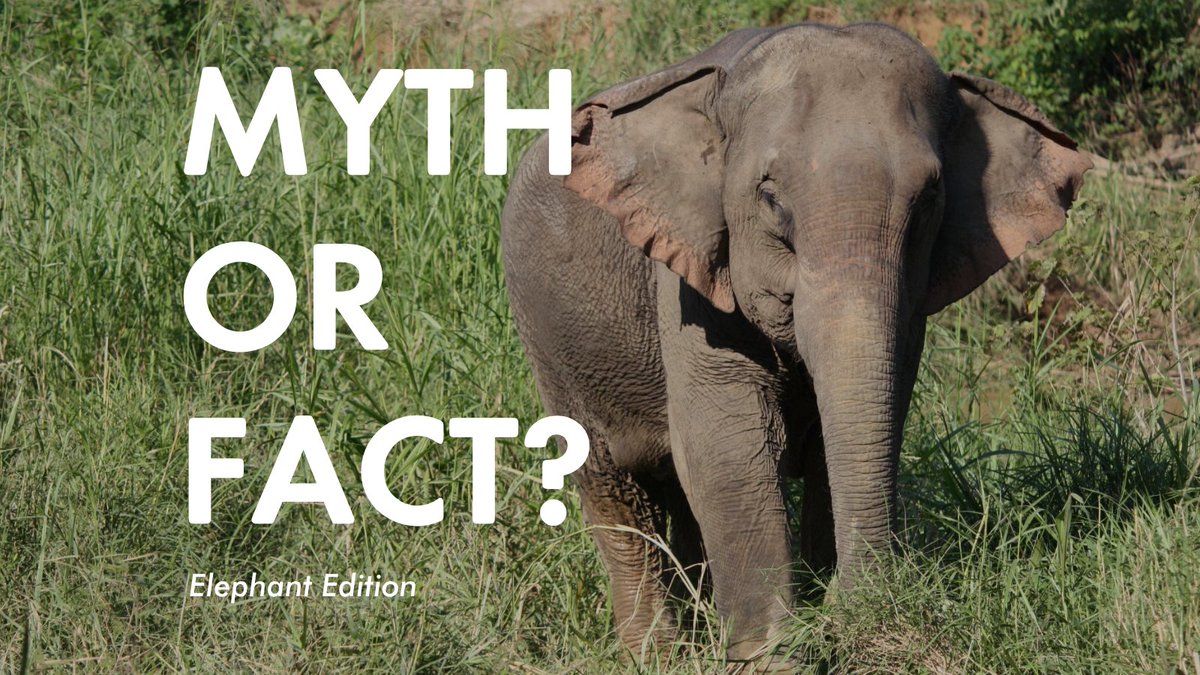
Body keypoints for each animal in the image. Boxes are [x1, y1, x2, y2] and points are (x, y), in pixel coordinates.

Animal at [501, 22, 1091, 661]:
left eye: (931, 197)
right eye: (769, 196)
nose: (848, 611)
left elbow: (865, 425)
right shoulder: (690, 283)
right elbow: (728, 445)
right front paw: (772, 656)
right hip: (550, 342)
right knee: (612, 490)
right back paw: (658, 655)